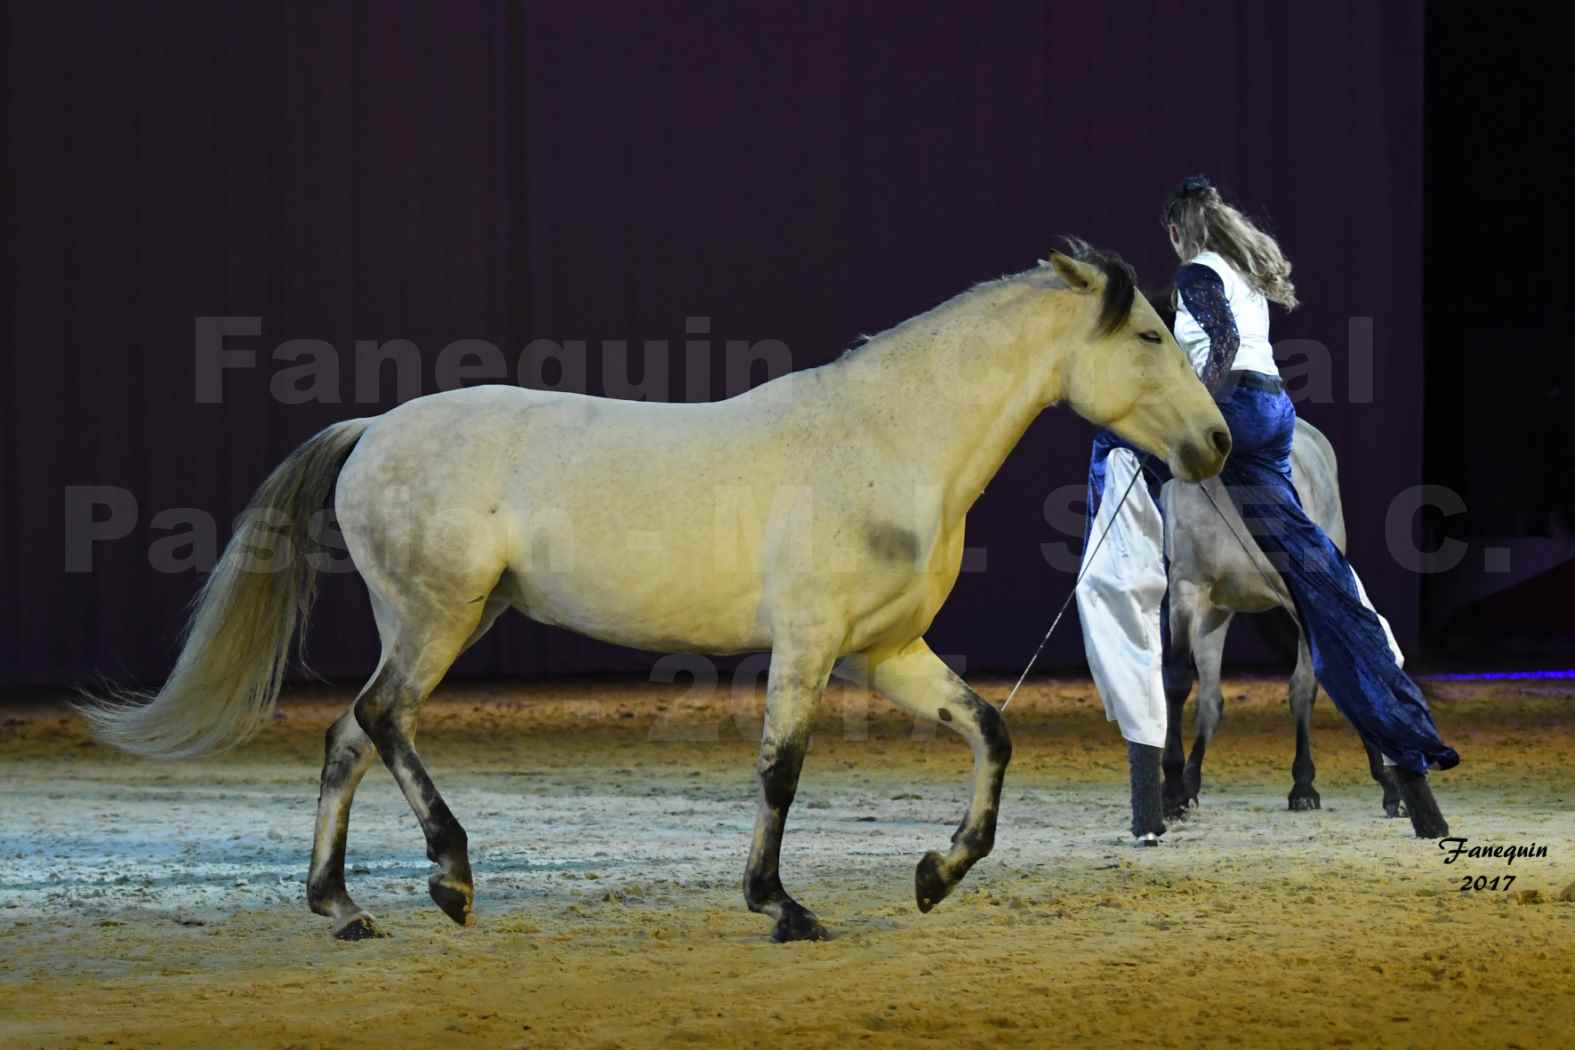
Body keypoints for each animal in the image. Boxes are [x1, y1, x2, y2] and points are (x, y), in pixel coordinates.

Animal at [86, 247, 1228, 944]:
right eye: (1148, 339)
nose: (1215, 443)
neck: (882, 441)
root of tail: (372, 430)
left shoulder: (886, 652)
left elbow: (990, 732)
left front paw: (936, 874)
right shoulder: (809, 645)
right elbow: (780, 771)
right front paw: (780, 905)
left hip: (441, 618)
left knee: (348, 738)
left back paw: (343, 907)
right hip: (438, 615)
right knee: (381, 718)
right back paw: (449, 877)